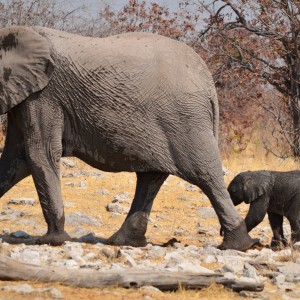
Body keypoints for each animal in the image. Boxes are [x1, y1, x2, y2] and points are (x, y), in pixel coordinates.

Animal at [0, 26, 253, 251]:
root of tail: (209, 83)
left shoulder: (44, 95)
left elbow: (38, 154)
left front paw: (51, 241)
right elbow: (15, 158)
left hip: (186, 119)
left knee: (205, 175)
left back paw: (239, 245)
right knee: (151, 177)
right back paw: (122, 242)